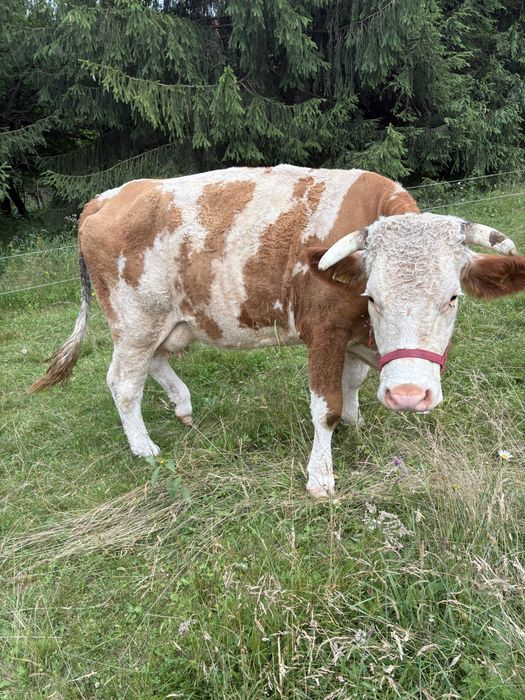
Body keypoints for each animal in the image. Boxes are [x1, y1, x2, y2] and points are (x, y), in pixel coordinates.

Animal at [30, 165, 525, 497]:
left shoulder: (352, 337)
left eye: (453, 297)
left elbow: (354, 383)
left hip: (167, 320)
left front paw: (356, 421)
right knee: (123, 382)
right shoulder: (324, 331)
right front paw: (320, 476)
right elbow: (326, 406)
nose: (408, 395)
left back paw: (182, 404)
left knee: (155, 361)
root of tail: (108, 196)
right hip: (135, 321)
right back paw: (144, 446)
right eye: (373, 297)